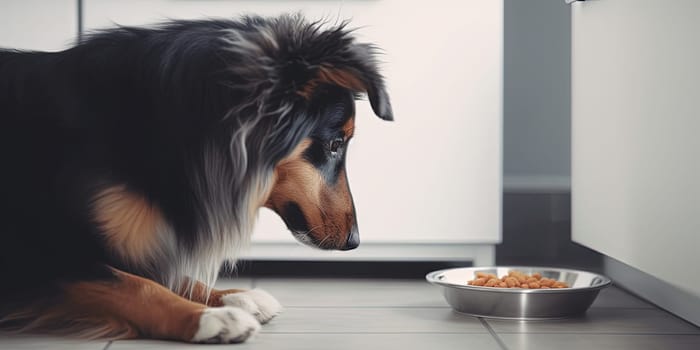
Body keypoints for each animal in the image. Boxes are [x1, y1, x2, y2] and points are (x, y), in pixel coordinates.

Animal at [0, 13, 394, 342]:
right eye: (335, 144)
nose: (355, 242)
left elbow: (166, 276)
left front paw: (235, 296)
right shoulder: (43, 250)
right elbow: (132, 284)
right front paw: (208, 318)